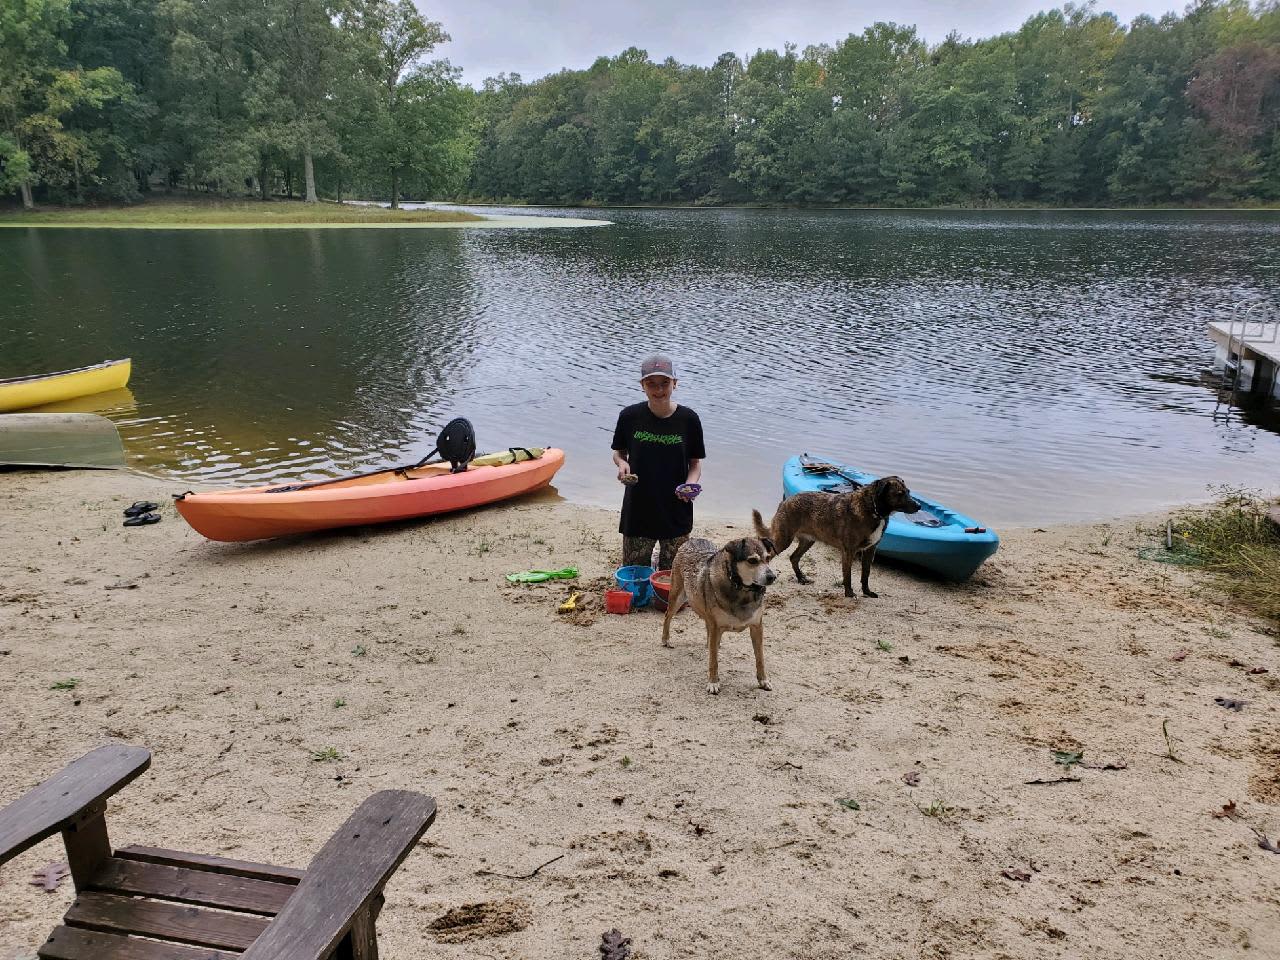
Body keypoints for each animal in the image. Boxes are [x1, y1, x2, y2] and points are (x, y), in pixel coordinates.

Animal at [660, 537, 778, 696]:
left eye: (768, 558)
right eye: (752, 561)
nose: (772, 577)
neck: (741, 589)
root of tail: (693, 540)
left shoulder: (757, 627)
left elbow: (760, 658)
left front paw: (763, 680)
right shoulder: (716, 627)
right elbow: (713, 661)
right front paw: (713, 682)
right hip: (677, 596)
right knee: (668, 616)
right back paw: (666, 639)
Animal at [747, 481, 921, 601]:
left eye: (908, 492)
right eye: (900, 493)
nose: (919, 506)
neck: (874, 510)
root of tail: (786, 501)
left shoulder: (870, 550)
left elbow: (865, 574)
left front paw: (867, 592)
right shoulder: (849, 551)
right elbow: (848, 576)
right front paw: (849, 593)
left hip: (807, 541)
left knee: (794, 557)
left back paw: (801, 578)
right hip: (783, 540)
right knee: (770, 556)